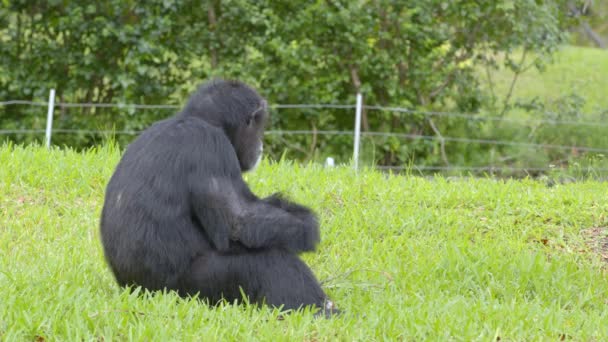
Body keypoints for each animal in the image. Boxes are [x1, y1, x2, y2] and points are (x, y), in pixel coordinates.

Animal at [99, 79, 338, 316]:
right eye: (258, 126)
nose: (260, 144)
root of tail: (134, 290)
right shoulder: (212, 147)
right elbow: (238, 221)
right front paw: (307, 226)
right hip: (189, 290)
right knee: (268, 261)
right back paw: (320, 311)